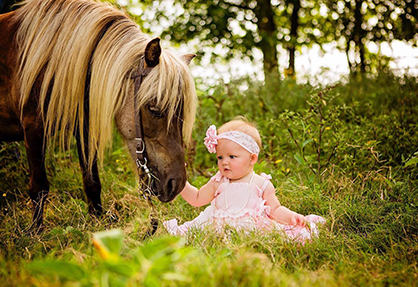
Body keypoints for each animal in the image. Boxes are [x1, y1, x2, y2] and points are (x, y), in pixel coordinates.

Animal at [0, 0, 198, 232]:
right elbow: (39, 186)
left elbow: (92, 181)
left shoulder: (84, 129)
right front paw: (36, 233)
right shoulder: (33, 128)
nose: (177, 184)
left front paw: (98, 223)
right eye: (154, 109)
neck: (53, 59)